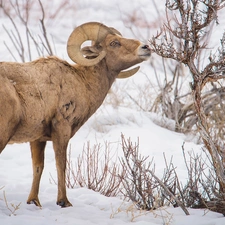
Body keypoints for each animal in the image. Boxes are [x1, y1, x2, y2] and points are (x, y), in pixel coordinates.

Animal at [0, 22, 151, 207]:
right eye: (114, 43)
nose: (146, 47)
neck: (82, 83)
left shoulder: (37, 139)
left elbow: (38, 167)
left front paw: (34, 202)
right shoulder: (62, 131)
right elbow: (61, 165)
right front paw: (64, 202)